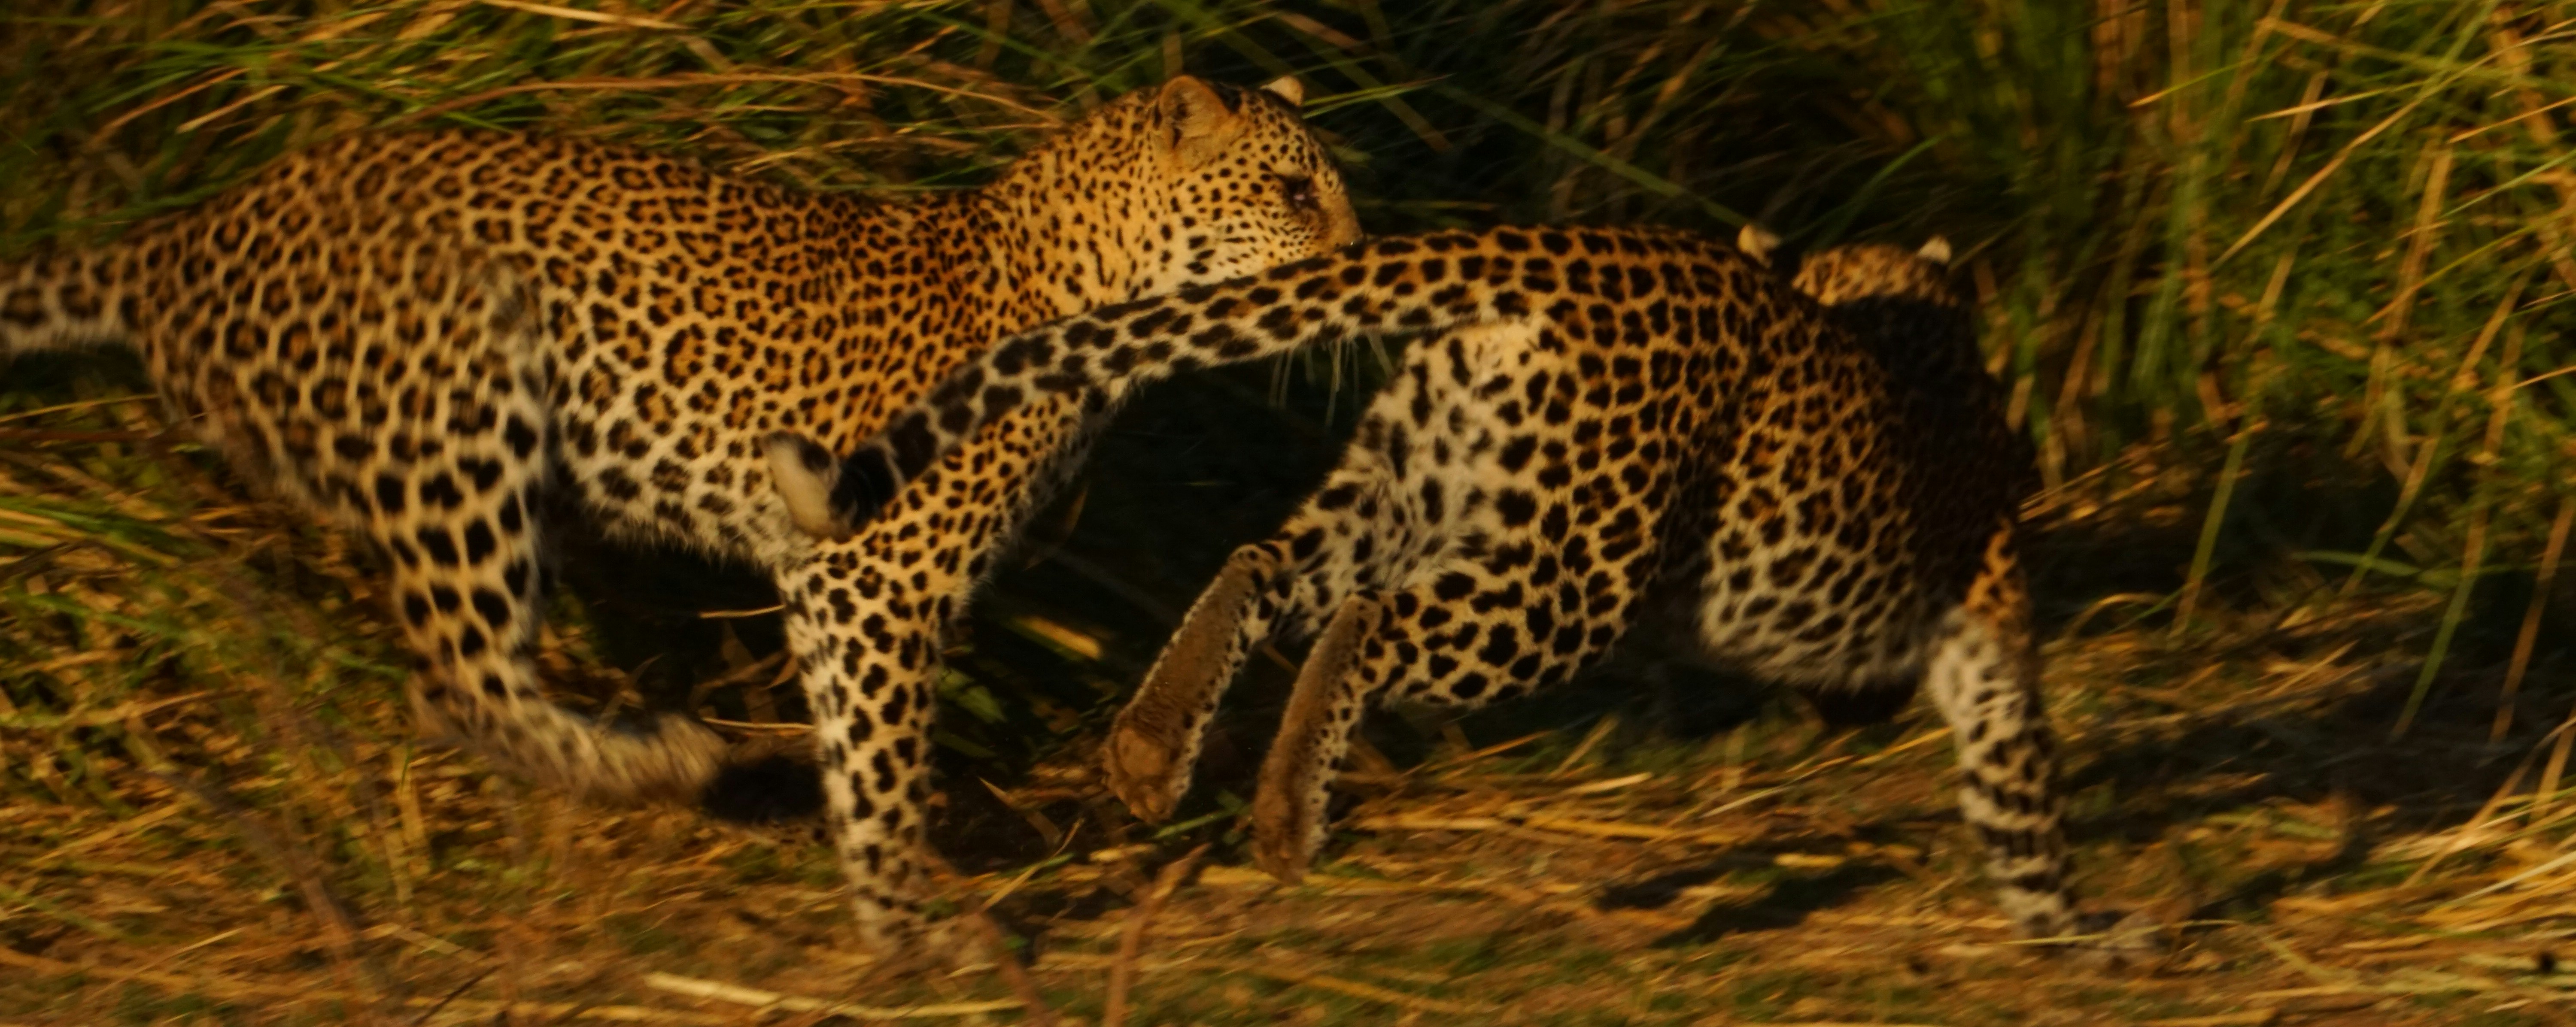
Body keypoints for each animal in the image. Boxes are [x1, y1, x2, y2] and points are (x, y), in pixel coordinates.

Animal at [0, 74, 1360, 955]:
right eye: (1295, 191)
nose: (1365, 251)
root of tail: (188, 237)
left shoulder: (834, 578)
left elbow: (860, 743)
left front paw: (887, 899)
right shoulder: (876, 572)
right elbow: (883, 759)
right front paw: (909, 925)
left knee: (466, 685)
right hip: (464, 412)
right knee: (456, 681)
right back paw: (674, 760)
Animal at [782, 222, 2133, 957]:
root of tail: (1570, 251)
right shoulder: (1990, 641)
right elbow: (2021, 800)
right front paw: (2086, 935)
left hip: (1409, 472)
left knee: (1263, 565)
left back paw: (1157, 750)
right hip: (1575, 570)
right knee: (1368, 624)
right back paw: (1285, 812)